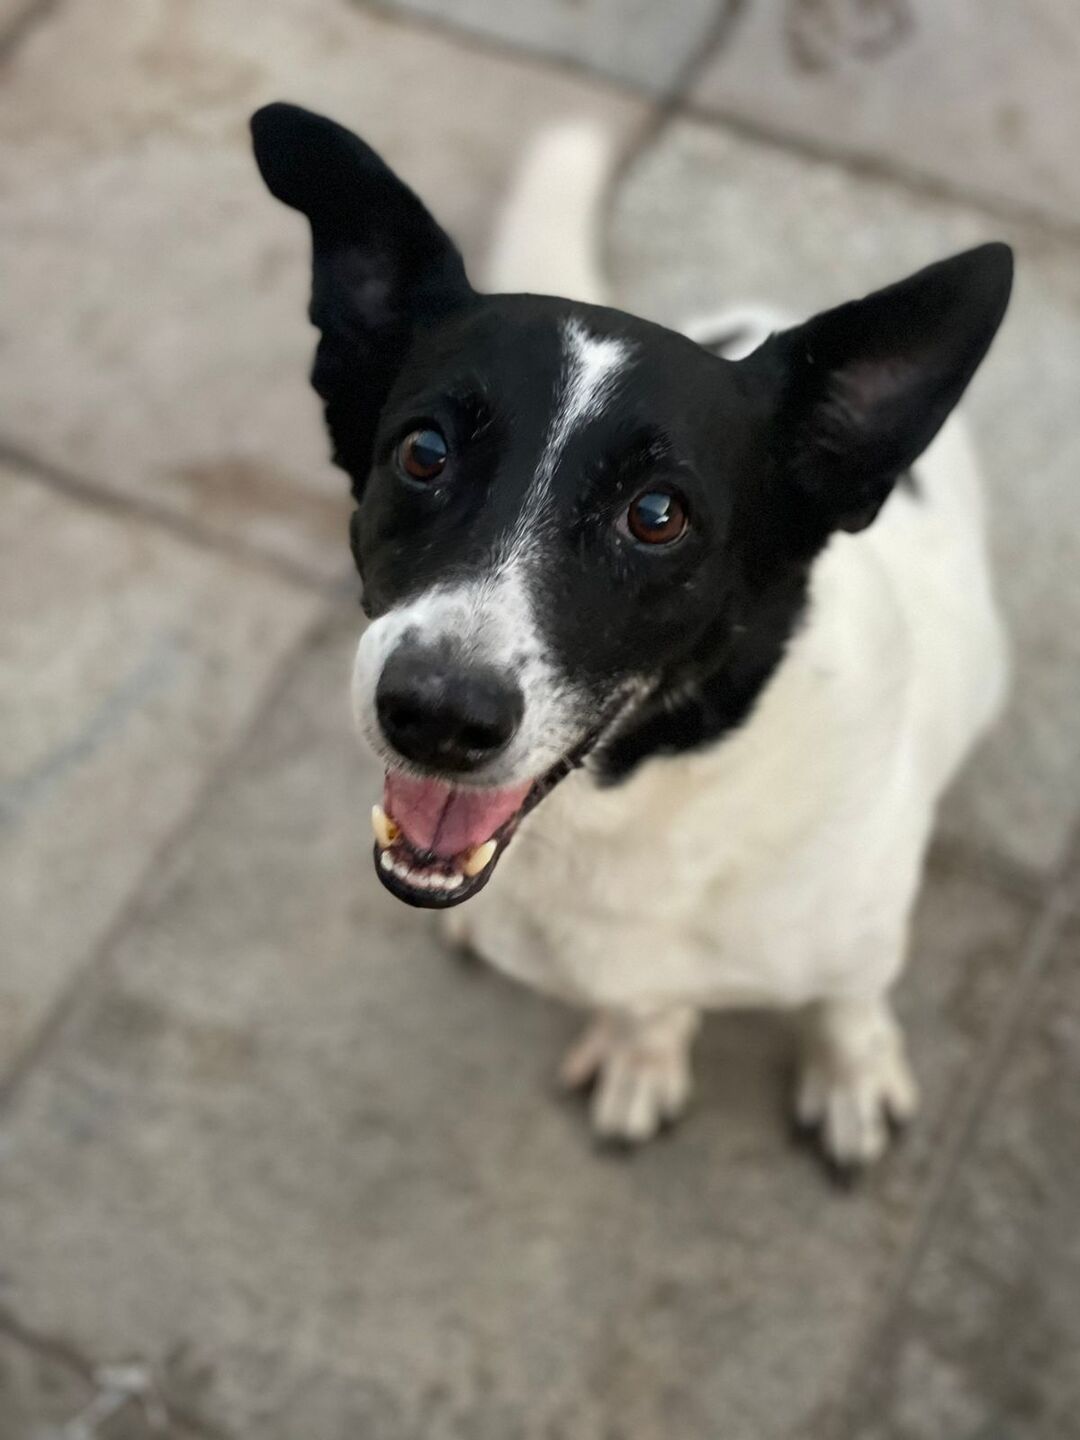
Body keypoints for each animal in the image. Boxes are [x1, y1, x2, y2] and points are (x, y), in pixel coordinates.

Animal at [252, 109, 1013, 1169]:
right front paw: (646, 1048)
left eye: (658, 514)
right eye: (423, 452)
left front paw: (851, 1069)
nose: (435, 716)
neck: (645, 804)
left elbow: (848, 995)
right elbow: (649, 1003)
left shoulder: (853, 935)